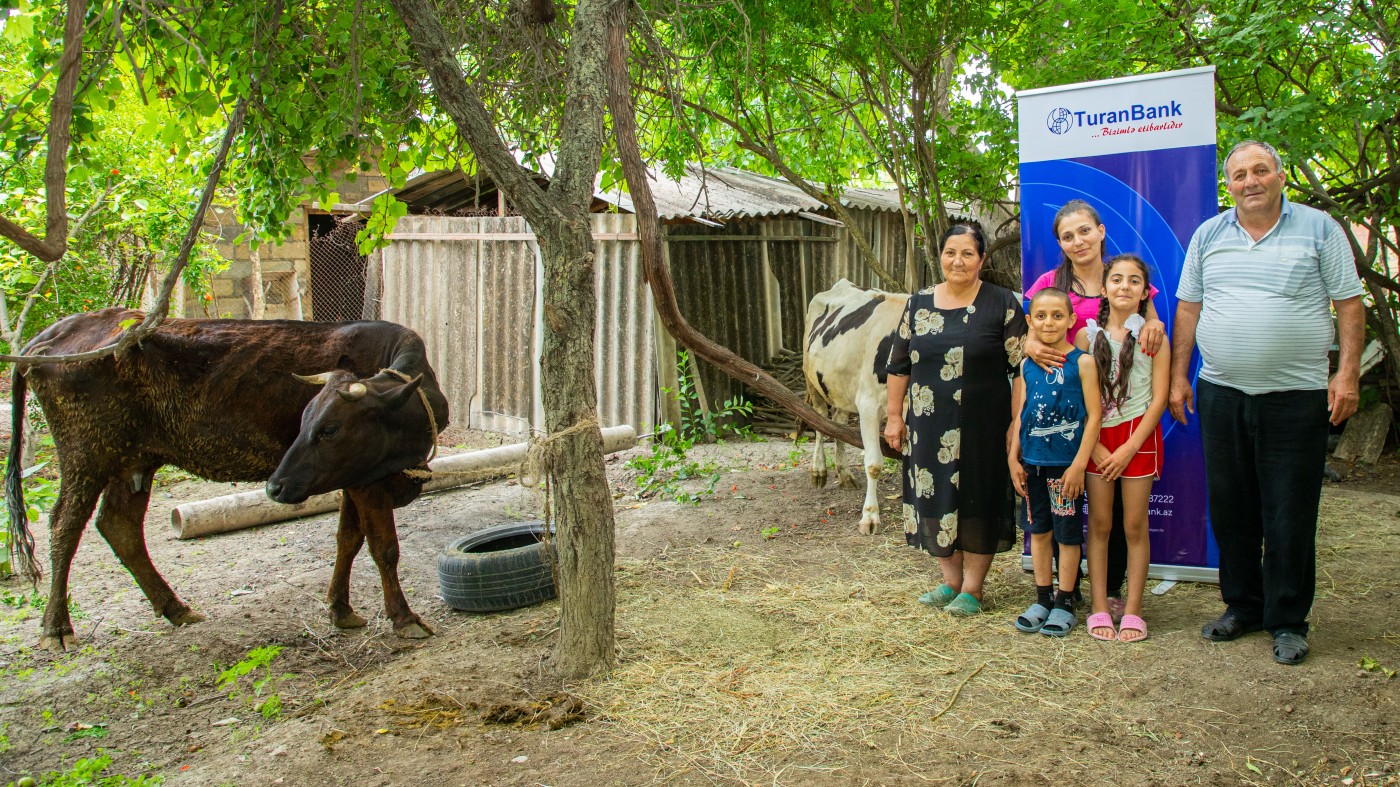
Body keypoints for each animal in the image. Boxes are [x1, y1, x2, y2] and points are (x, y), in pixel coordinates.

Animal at [4, 308, 448, 649]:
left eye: (328, 429)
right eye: (306, 422)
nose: (274, 486)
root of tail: (46, 337)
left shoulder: (350, 476)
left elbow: (348, 541)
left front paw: (341, 610)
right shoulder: (367, 481)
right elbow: (382, 547)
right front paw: (404, 618)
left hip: (133, 460)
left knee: (119, 526)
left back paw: (175, 608)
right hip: (87, 456)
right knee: (64, 525)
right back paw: (56, 627)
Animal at [806, 278, 912, 529]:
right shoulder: (869, 406)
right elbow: (874, 463)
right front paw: (870, 515)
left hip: (841, 388)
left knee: (838, 424)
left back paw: (844, 474)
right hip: (812, 381)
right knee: (819, 421)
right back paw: (818, 471)